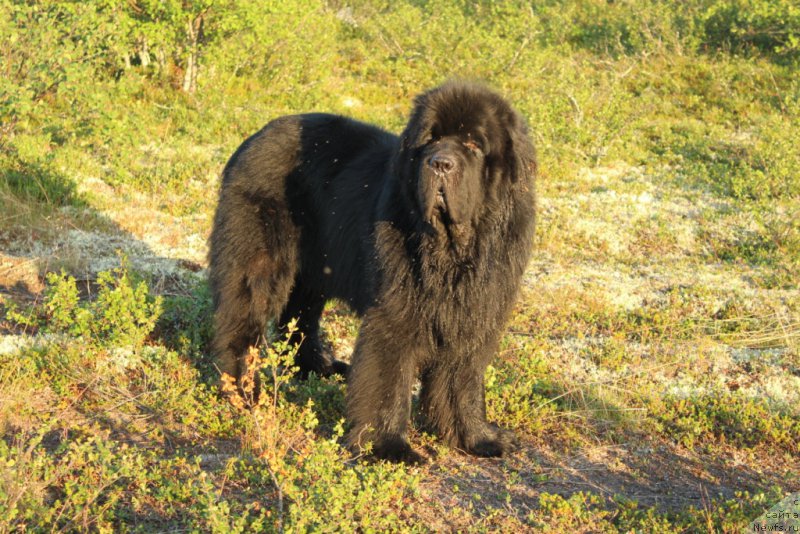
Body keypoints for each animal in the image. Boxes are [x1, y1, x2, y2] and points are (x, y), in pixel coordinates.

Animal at [211, 81, 536, 462]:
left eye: (473, 144)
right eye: (430, 139)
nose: (440, 163)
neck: (452, 250)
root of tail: (254, 138)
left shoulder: (474, 312)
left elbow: (463, 380)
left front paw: (476, 437)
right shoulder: (396, 310)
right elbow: (388, 378)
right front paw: (387, 447)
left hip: (315, 268)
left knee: (300, 315)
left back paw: (317, 367)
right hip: (258, 258)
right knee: (243, 318)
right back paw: (243, 391)